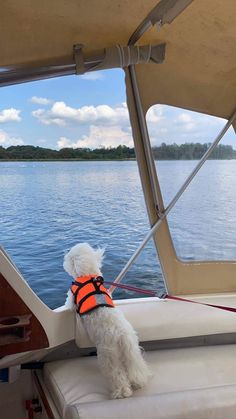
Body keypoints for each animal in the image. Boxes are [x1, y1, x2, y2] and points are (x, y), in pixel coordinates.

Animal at [63, 243, 150, 400]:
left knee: (116, 374)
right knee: (135, 367)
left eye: (71, 255)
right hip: (132, 349)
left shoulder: (72, 297)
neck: (89, 276)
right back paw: (139, 382)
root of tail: (121, 335)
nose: (65, 257)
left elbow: (69, 304)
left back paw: (121, 392)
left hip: (108, 354)